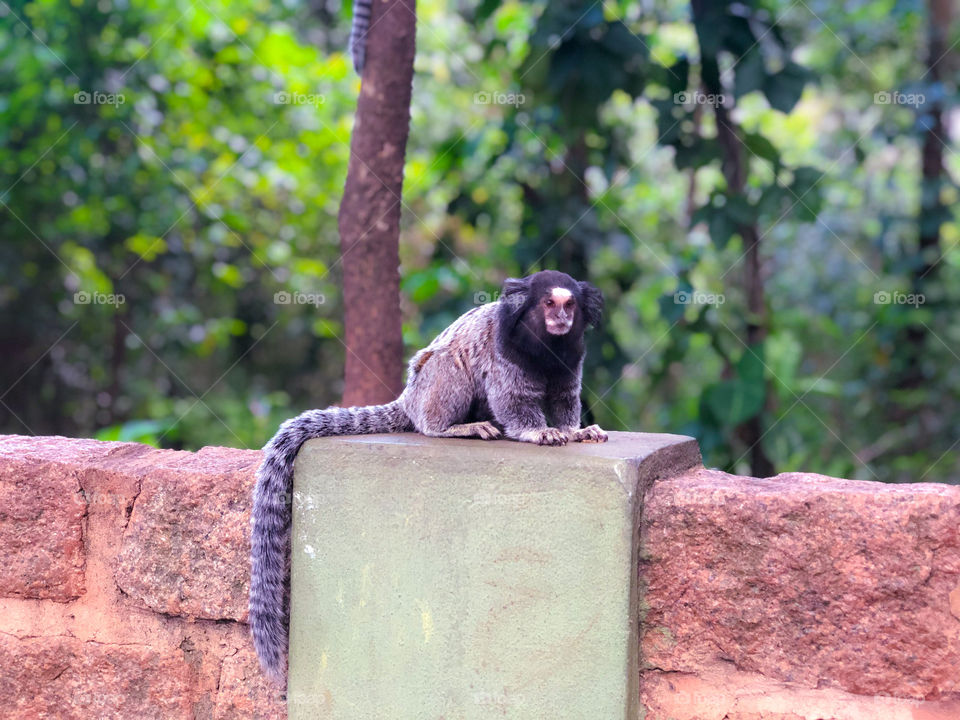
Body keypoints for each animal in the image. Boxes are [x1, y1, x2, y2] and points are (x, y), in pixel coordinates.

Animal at [249, 270, 608, 682]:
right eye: (548, 303)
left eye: (570, 305)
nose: (561, 317)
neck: (546, 345)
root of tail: (409, 398)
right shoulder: (506, 356)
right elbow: (512, 399)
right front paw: (537, 432)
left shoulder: (571, 357)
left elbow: (565, 398)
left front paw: (574, 431)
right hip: (429, 390)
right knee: (448, 369)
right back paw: (452, 428)